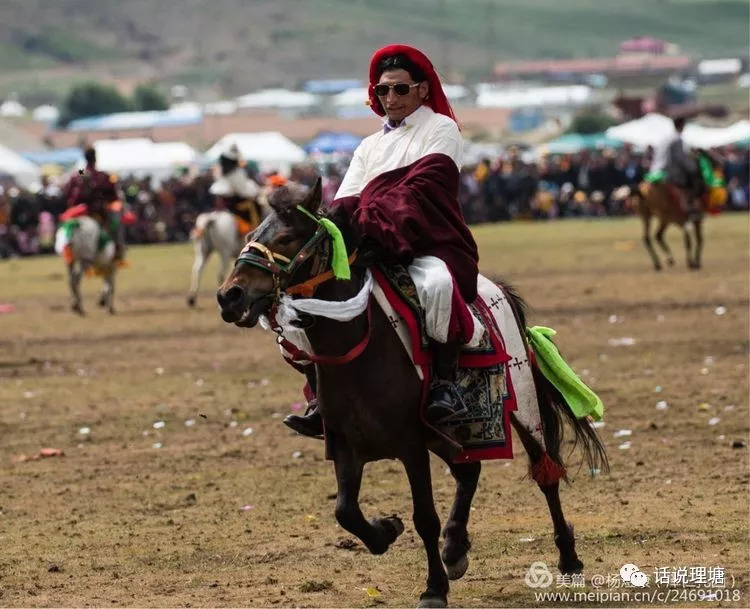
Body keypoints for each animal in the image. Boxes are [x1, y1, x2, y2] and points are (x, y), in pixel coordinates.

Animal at [217, 182, 612, 608]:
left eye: (288, 237)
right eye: (251, 233)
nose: (230, 296)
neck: (359, 347)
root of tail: (496, 290)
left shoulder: (410, 445)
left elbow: (424, 518)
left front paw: (433, 588)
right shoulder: (346, 445)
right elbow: (345, 511)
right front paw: (386, 530)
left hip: (522, 410)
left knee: (545, 474)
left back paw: (568, 558)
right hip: (447, 433)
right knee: (468, 472)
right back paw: (455, 548)